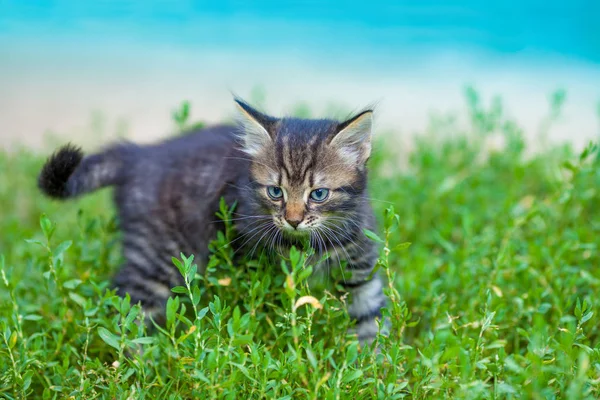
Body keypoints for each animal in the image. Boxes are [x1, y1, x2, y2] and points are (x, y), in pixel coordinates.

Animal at [37, 99, 386, 344]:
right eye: (275, 192)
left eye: (319, 194)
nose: (293, 220)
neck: (312, 246)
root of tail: (140, 154)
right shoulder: (255, 265)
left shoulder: (362, 272)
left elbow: (370, 323)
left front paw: (372, 370)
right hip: (158, 257)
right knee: (127, 306)